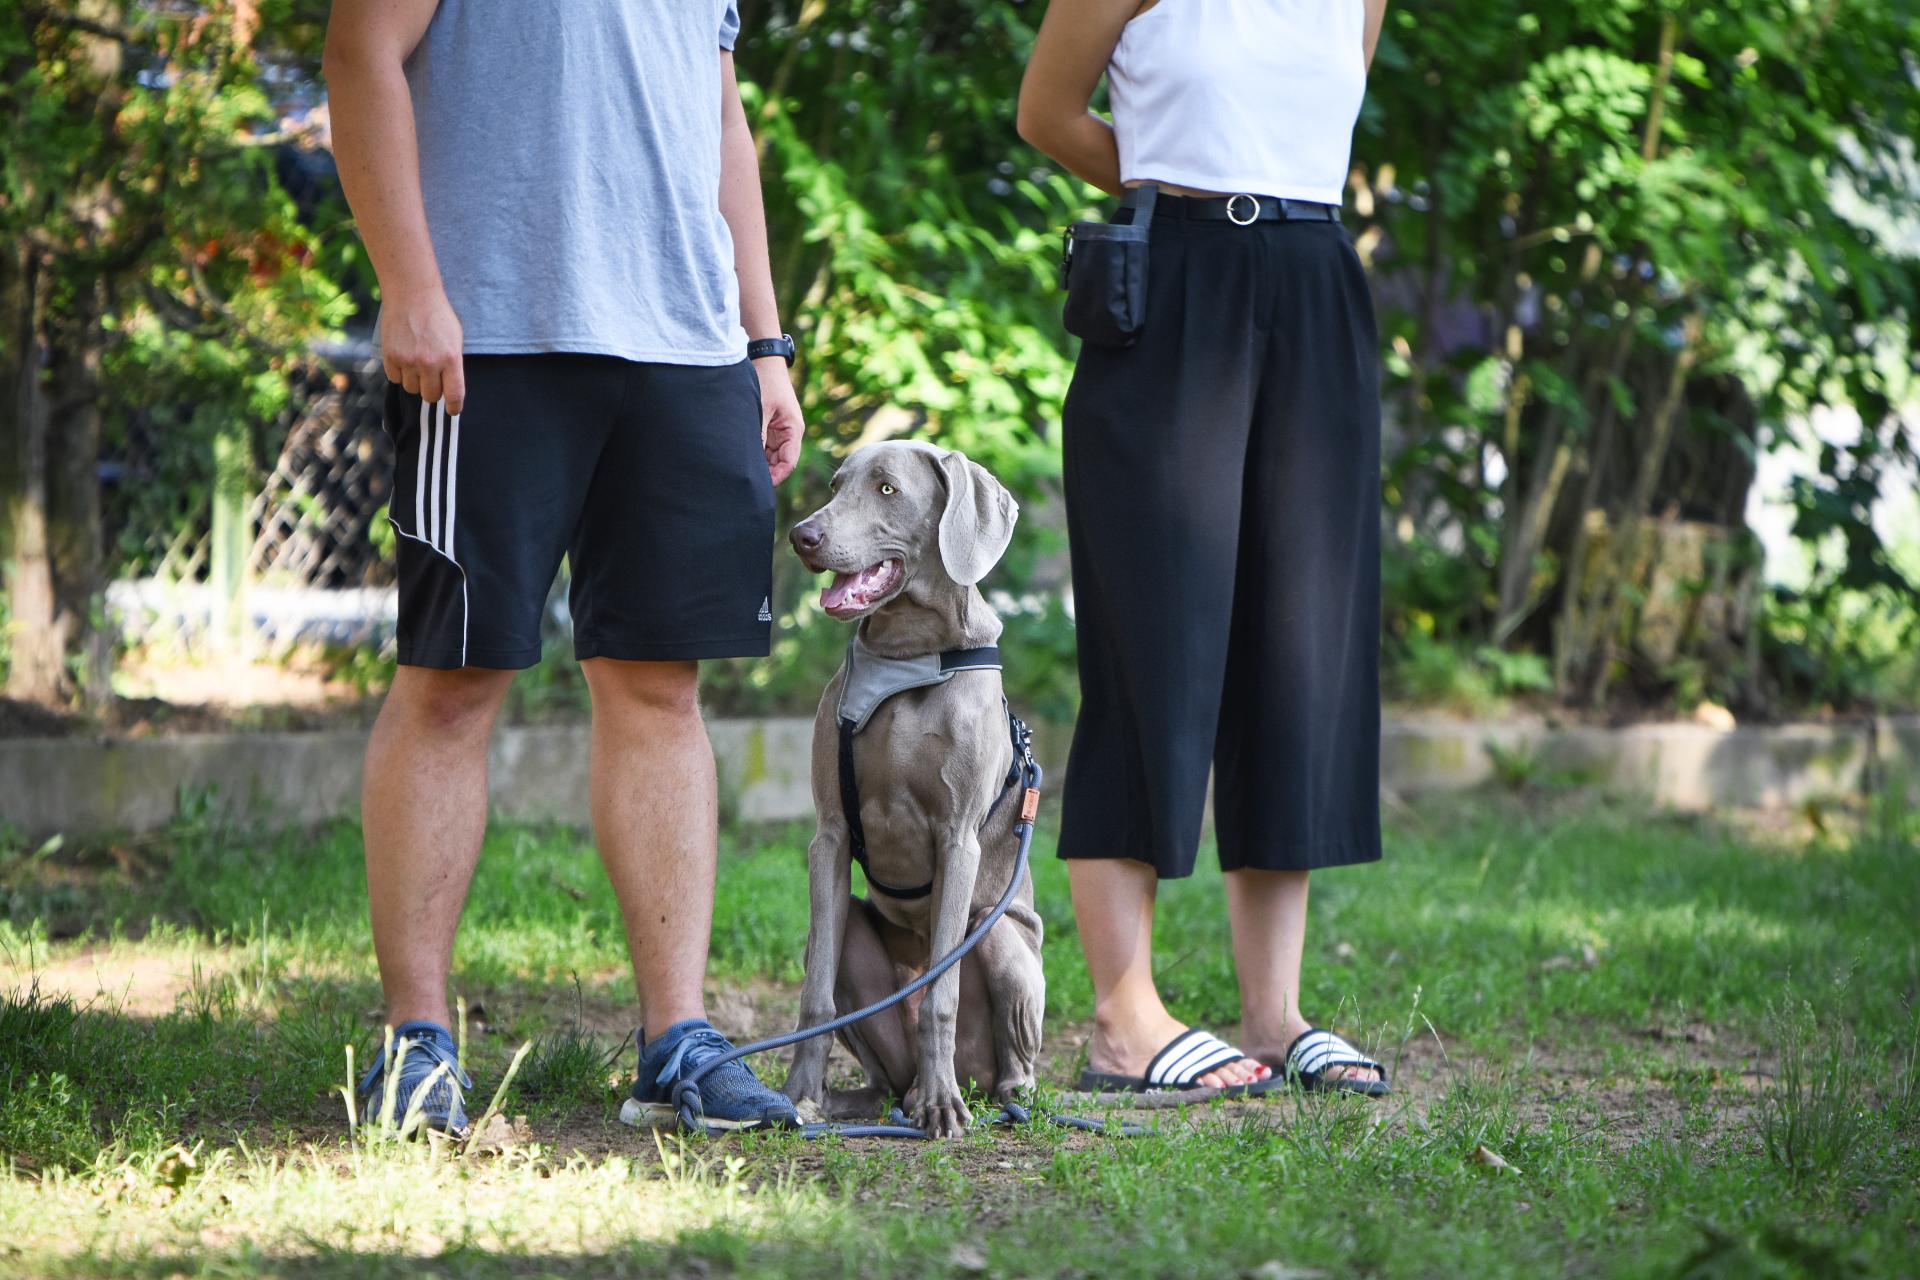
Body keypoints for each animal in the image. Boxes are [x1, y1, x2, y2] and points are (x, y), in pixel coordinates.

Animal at [783, 443, 1052, 1143]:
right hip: (852, 947)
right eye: (835, 485)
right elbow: (814, 993)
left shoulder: (958, 840)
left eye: (886, 489)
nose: (802, 536)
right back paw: (865, 1101)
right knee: (876, 1070)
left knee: (1010, 1060)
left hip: (1000, 937)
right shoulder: (829, 835)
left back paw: (987, 1097)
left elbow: (940, 993)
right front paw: (797, 1097)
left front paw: (940, 1105)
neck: (906, 660)